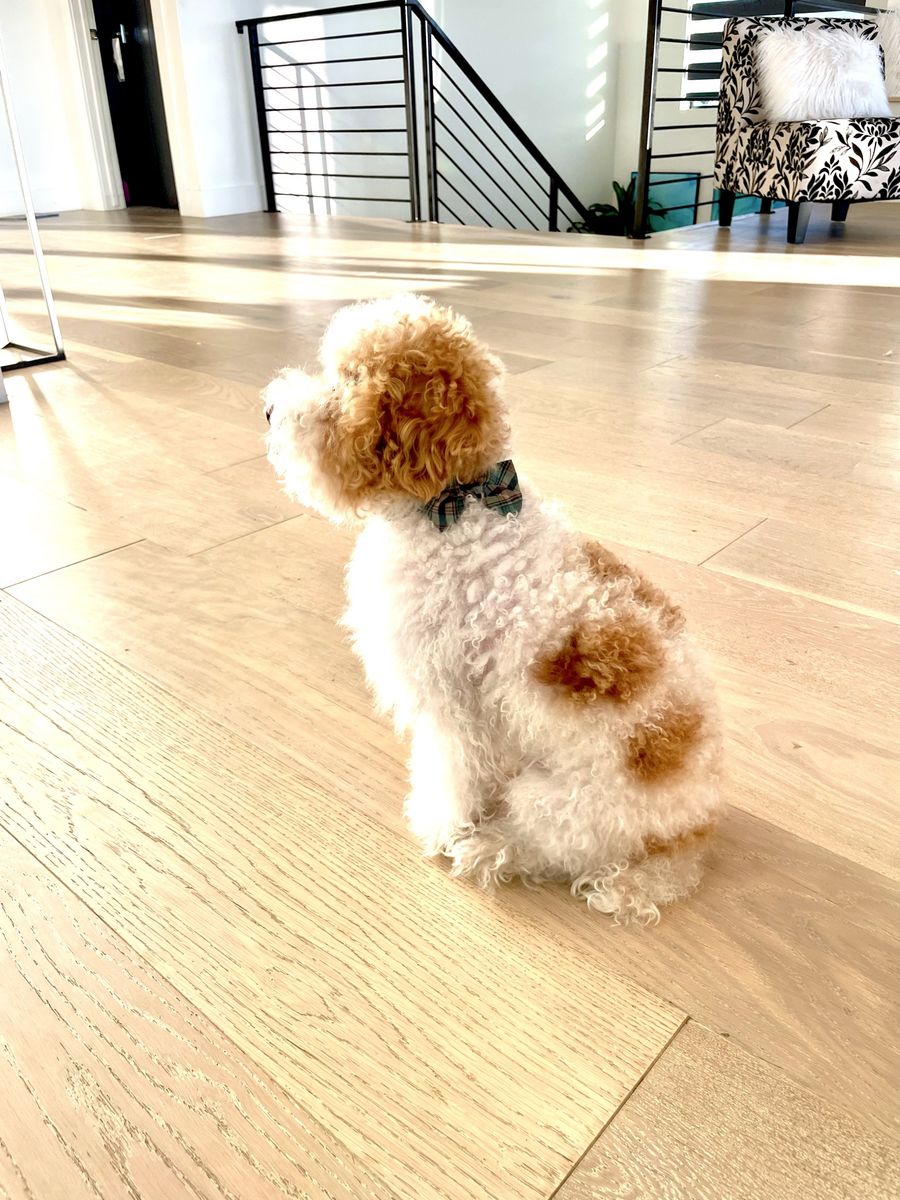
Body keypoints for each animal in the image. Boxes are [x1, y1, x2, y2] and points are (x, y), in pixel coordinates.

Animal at [265, 294, 723, 923]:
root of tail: (686, 836)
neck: (459, 509)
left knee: (546, 849)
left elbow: (452, 777)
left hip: (560, 803)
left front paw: (439, 826)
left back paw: (486, 850)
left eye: (349, 381)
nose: (267, 409)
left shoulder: (448, 706)